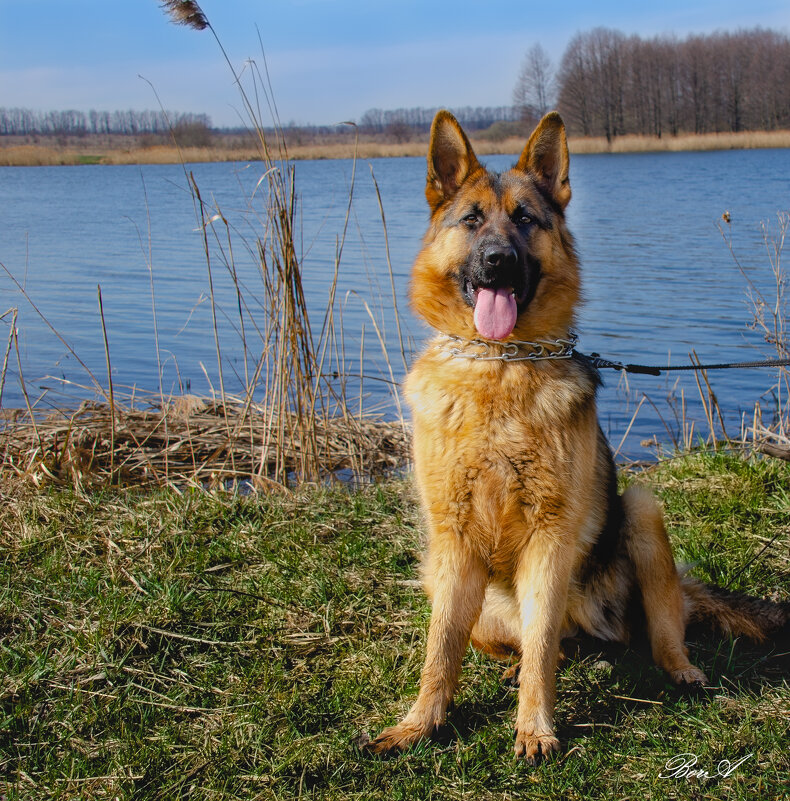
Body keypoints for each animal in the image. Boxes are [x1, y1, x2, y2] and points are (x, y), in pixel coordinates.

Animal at [370, 109, 790, 760]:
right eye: (472, 221)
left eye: (525, 219)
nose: (498, 261)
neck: (501, 366)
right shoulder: (453, 543)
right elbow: (441, 652)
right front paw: (421, 723)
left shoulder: (550, 540)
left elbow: (542, 642)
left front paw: (535, 727)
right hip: (445, 580)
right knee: (534, 645)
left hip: (642, 514)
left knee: (651, 632)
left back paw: (680, 670)